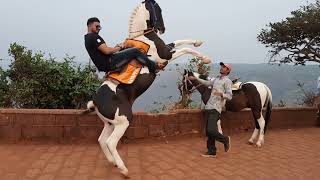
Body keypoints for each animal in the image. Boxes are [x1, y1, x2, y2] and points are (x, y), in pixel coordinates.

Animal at [84, 0, 211, 177]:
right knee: (110, 142)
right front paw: (205, 58)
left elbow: (179, 41)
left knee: (101, 140)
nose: (162, 28)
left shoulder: (166, 49)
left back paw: (113, 162)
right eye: (159, 9)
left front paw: (197, 41)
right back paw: (123, 169)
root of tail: (95, 102)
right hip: (123, 120)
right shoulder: (165, 55)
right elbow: (184, 49)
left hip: (110, 123)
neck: (144, 36)